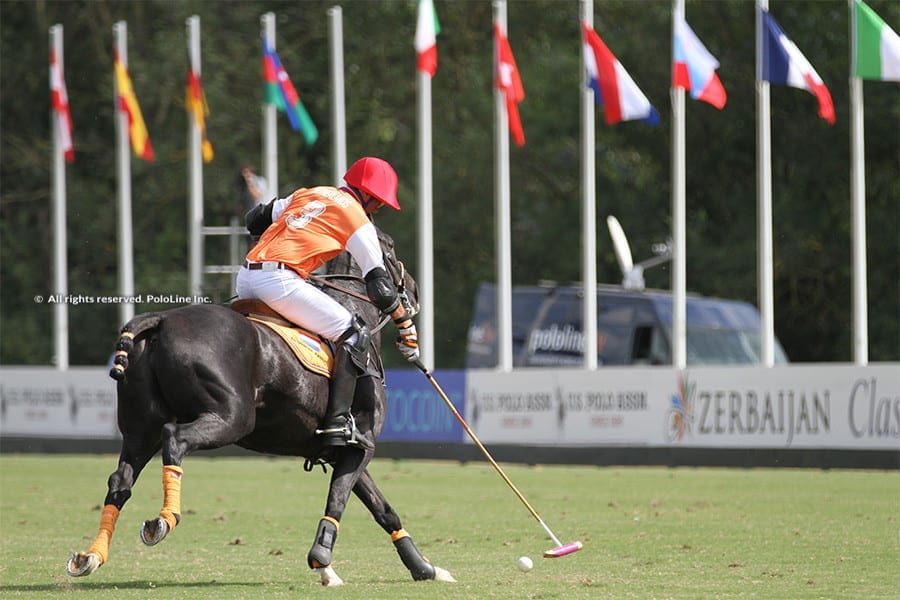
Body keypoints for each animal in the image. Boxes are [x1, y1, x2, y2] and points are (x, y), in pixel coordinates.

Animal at [66, 229, 454, 584]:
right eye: (391, 250)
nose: (415, 292)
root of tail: (161, 319)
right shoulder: (361, 446)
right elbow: (339, 499)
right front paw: (322, 561)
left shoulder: (344, 449)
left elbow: (383, 509)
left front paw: (425, 568)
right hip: (231, 417)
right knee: (174, 439)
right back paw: (164, 519)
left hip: (139, 427)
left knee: (121, 479)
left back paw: (91, 556)